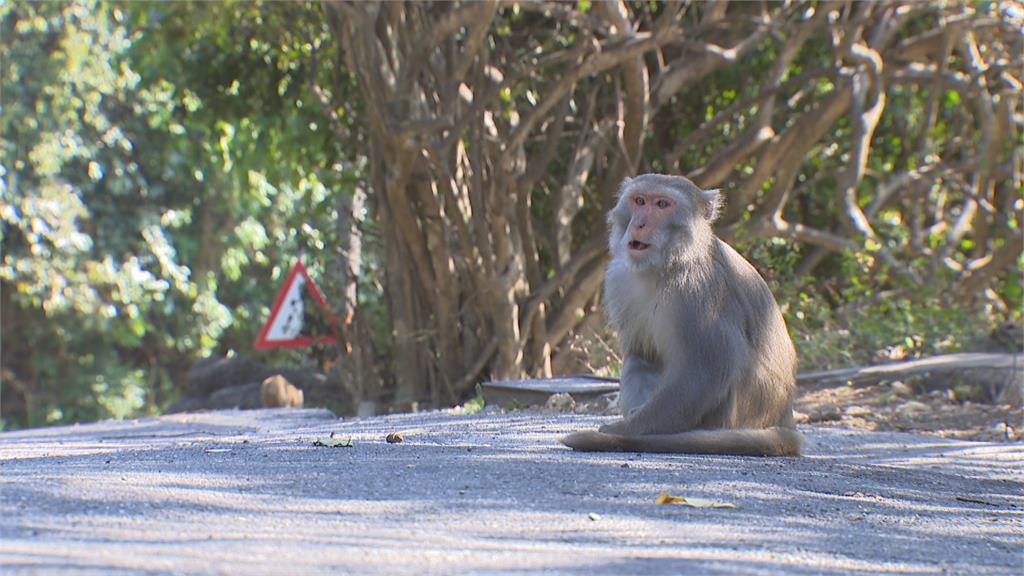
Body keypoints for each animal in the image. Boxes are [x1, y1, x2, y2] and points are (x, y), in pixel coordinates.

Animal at [565, 172, 802, 455]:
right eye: (640, 201)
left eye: (662, 205)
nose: (639, 224)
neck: (665, 266)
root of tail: (785, 418)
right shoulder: (620, 279)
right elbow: (644, 356)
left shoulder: (698, 291)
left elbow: (704, 374)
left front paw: (625, 430)